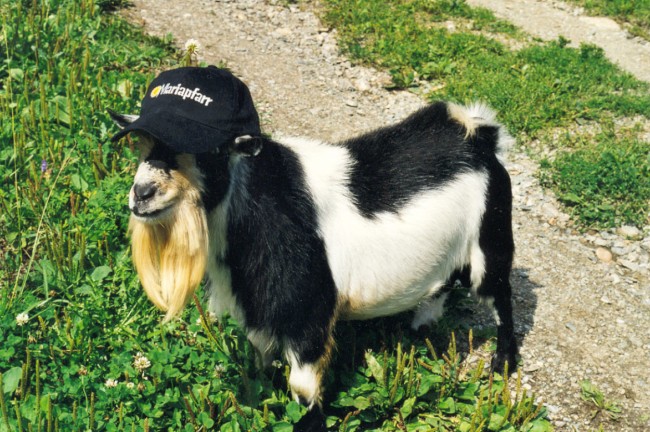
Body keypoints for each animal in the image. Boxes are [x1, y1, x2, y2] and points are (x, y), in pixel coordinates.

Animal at [111, 99, 517, 415]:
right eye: (142, 146)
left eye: (210, 153)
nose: (142, 194)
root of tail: (479, 136)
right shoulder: (260, 311)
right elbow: (259, 362)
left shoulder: (309, 313)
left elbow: (303, 388)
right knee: (441, 287)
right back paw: (420, 330)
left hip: (491, 241)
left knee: (500, 297)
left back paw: (502, 365)